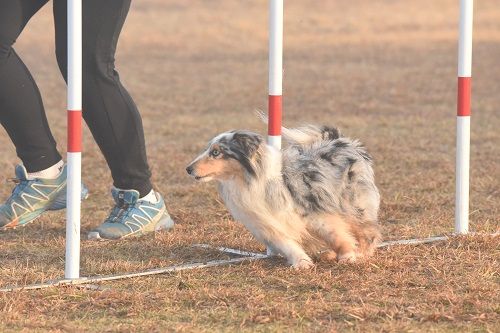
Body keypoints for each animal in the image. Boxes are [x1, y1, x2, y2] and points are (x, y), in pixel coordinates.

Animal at [186, 122, 380, 270]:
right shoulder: (270, 223)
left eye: (216, 152)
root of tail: (340, 139)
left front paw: (347, 255)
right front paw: (302, 263)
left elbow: (335, 234)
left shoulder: (315, 212)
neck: (252, 180)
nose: (188, 169)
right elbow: (288, 244)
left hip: (352, 203)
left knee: (367, 231)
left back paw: (361, 253)